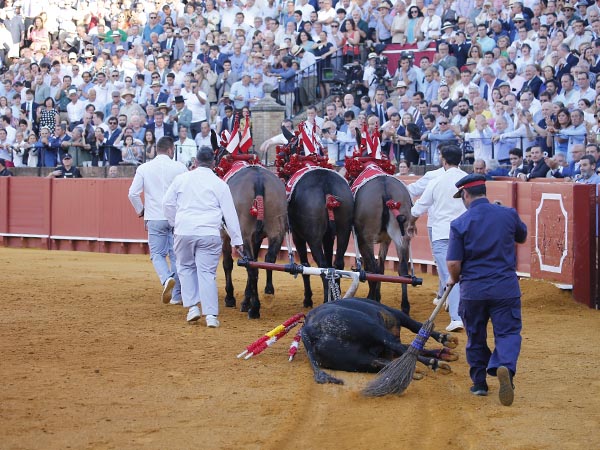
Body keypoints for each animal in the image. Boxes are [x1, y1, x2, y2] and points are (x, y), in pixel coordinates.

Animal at [354, 174, 414, 314]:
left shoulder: (363, 240)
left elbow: (372, 268)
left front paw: (375, 296)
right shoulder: (386, 240)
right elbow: (381, 267)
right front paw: (378, 296)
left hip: (367, 238)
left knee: (373, 268)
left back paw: (371, 299)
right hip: (402, 237)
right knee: (403, 269)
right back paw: (405, 306)